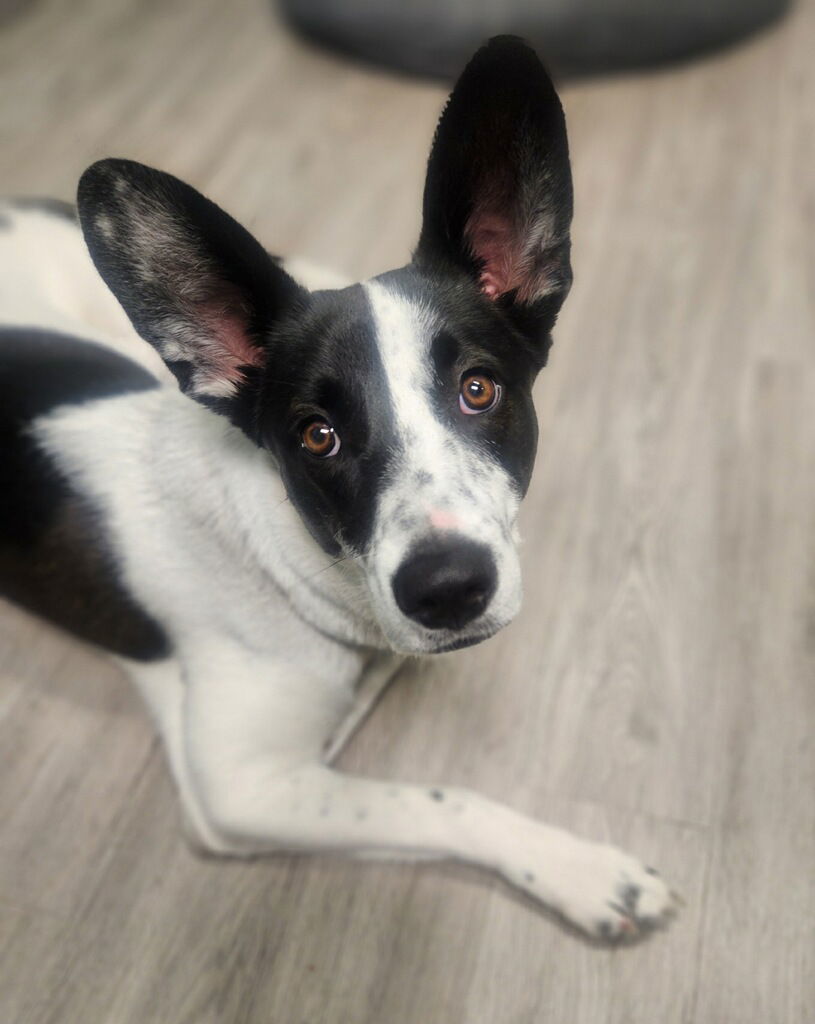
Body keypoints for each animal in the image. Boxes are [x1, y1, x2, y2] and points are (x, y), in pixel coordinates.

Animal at [0, 37, 675, 937]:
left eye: (477, 389)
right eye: (316, 436)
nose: (447, 589)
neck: (286, 556)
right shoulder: (243, 787)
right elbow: (443, 801)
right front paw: (579, 867)